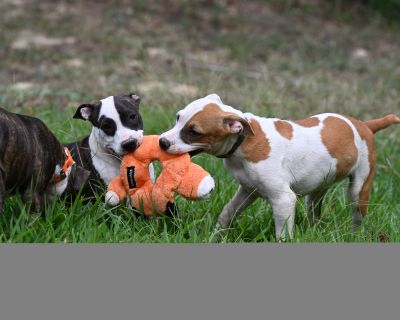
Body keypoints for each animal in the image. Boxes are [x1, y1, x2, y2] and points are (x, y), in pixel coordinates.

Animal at [159, 94, 400, 239]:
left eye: (194, 132)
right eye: (178, 117)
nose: (162, 142)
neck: (243, 141)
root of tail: (365, 125)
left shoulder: (283, 199)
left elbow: (282, 234)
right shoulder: (248, 190)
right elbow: (228, 212)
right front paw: (216, 235)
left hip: (360, 189)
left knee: (357, 216)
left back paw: (353, 236)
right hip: (318, 188)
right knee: (315, 211)